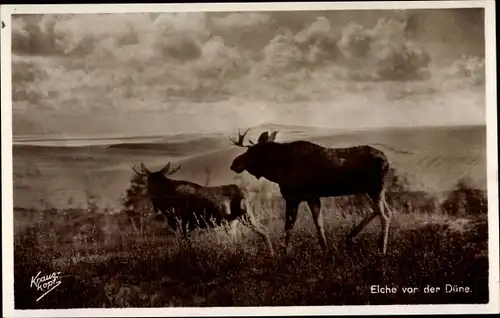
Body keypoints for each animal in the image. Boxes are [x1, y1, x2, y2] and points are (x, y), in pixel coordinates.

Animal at [132, 160, 274, 255]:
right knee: (255, 232)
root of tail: (247, 192)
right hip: (237, 218)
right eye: (149, 180)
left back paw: (271, 253)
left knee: (263, 230)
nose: (153, 196)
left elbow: (187, 245)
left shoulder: (184, 223)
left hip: (246, 214)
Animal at [230, 128, 394, 255]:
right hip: (366, 189)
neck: (277, 171)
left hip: (374, 188)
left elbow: (288, 226)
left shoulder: (293, 197)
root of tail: (387, 162)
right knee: (380, 211)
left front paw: (285, 252)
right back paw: (351, 236)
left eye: (250, 150)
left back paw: (382, 250)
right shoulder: (312, 196)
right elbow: (319, 224)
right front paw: (325, 250)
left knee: (384, 215)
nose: (233, 163)